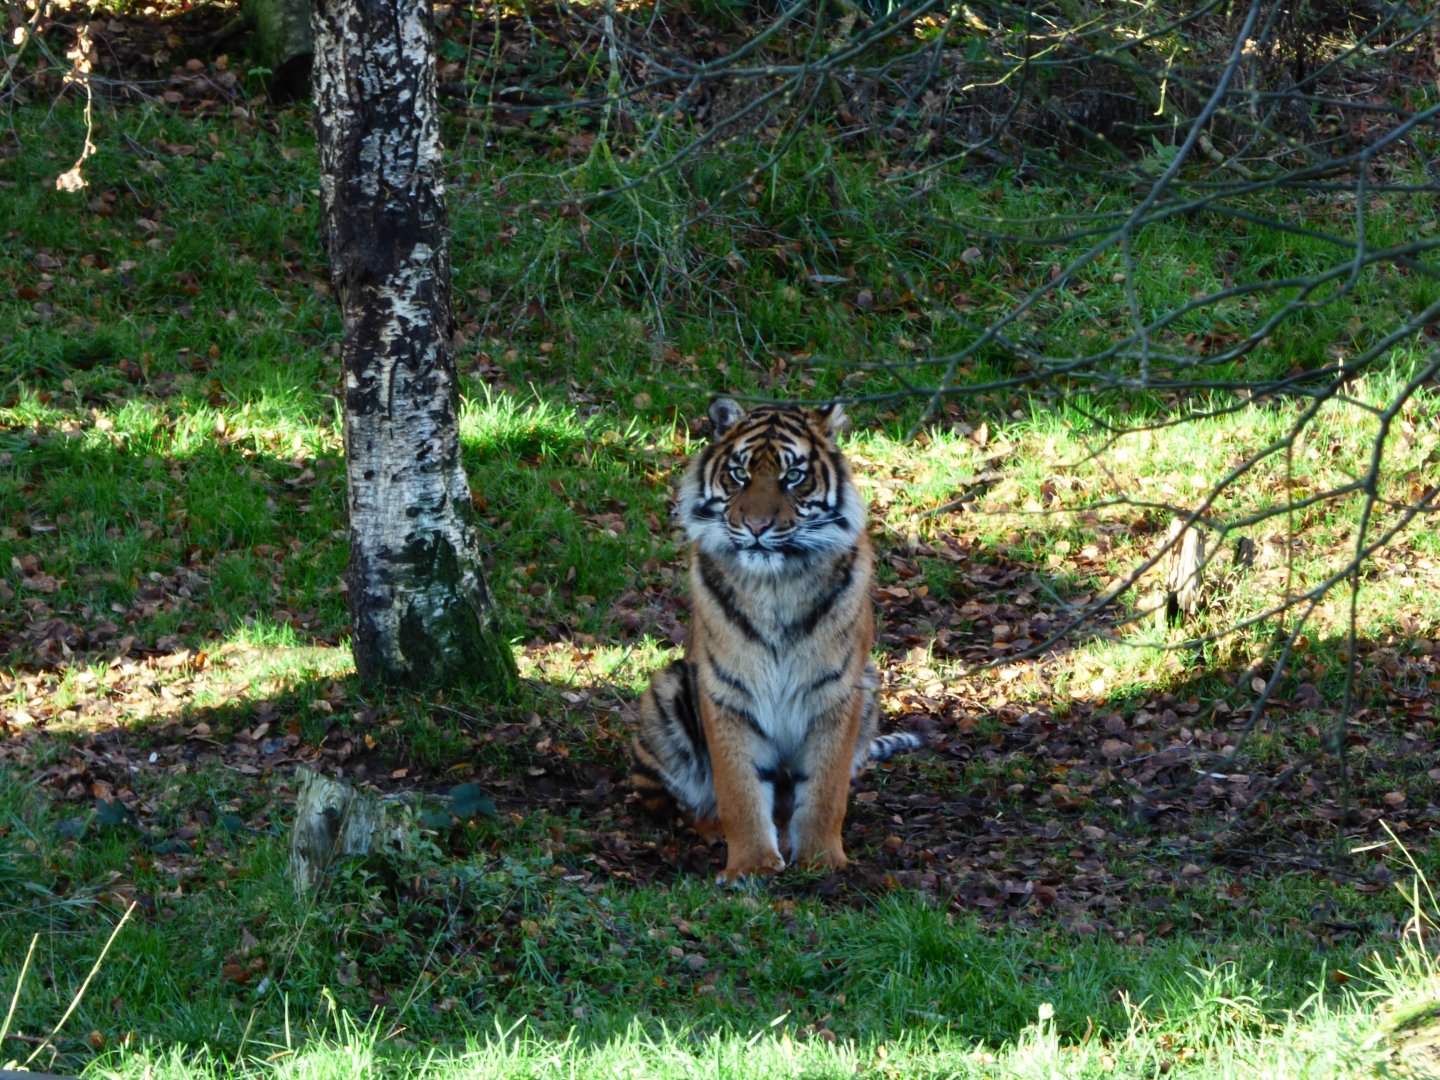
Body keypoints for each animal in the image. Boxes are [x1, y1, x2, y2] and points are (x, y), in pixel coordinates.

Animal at [630, 397, 921, 884]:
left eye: (794, 477)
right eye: (739, 474)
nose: (756, 526)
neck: (775, 585)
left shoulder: (837, 691)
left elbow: (826, 791)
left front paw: (822, 861)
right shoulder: (727, 691)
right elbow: (739, 789)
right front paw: (750, 865)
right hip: (666, 691)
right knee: (676, 804)